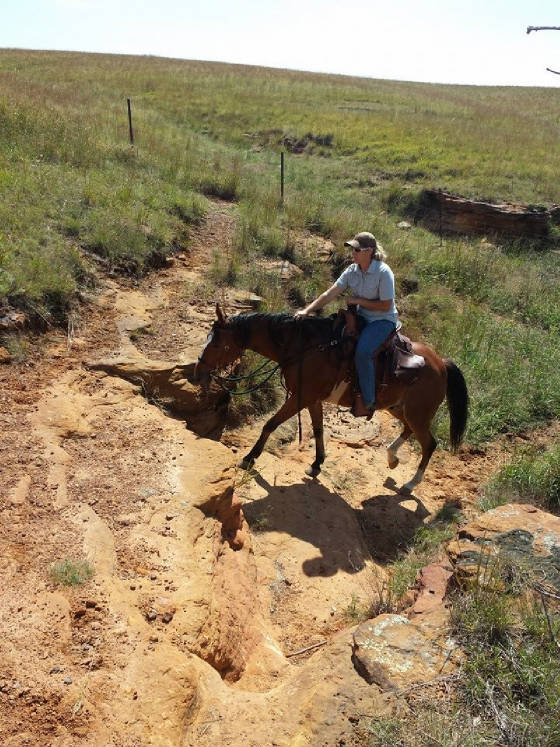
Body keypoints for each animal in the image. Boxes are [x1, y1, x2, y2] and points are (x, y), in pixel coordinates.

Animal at [197, 304, 468, 490]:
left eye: (216, 344)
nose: (198, 370)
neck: (304, 347)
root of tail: (441, 363)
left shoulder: (301, 396)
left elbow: (270, 424)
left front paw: (249, 458)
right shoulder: (312, 399)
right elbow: (318, 429)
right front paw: (316, 464)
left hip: (417, 413)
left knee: (429, 443)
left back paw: (410, 484)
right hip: (399, 408)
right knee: (410, 431)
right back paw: (392, 457)